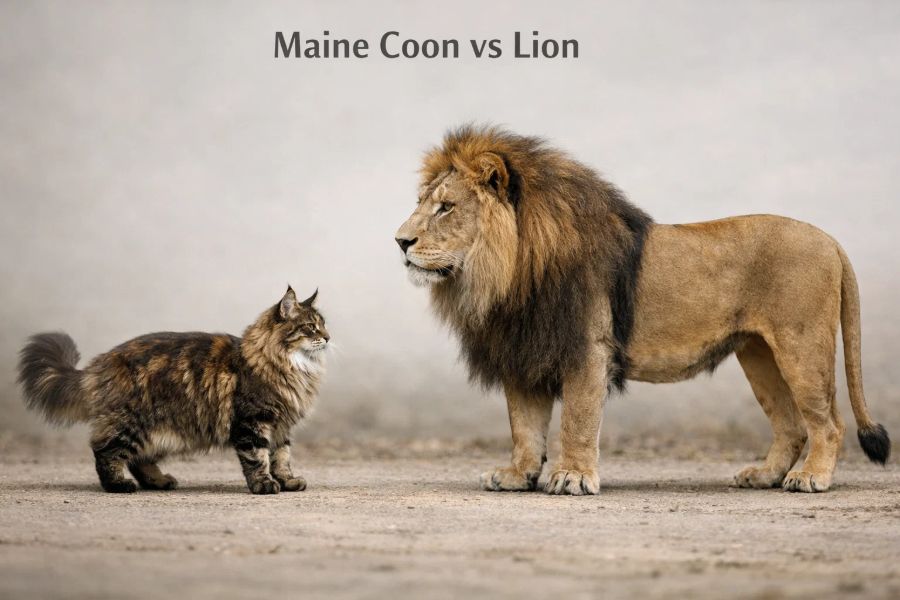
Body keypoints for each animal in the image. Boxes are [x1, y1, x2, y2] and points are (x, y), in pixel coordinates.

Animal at [395, 125, 890, 495]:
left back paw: (810, 478)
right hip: (759, 354)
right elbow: (524, 425)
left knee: (828, 422)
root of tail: (830, 239)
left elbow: (577, 419)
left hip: (801, 346)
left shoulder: (585, 349)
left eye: (446, 207)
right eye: (421, 204)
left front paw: (572, 477)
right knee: (791, 425)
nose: (400, 241)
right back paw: (765, 475)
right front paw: (518, 475)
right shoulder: (525, 351)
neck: (509, 271)